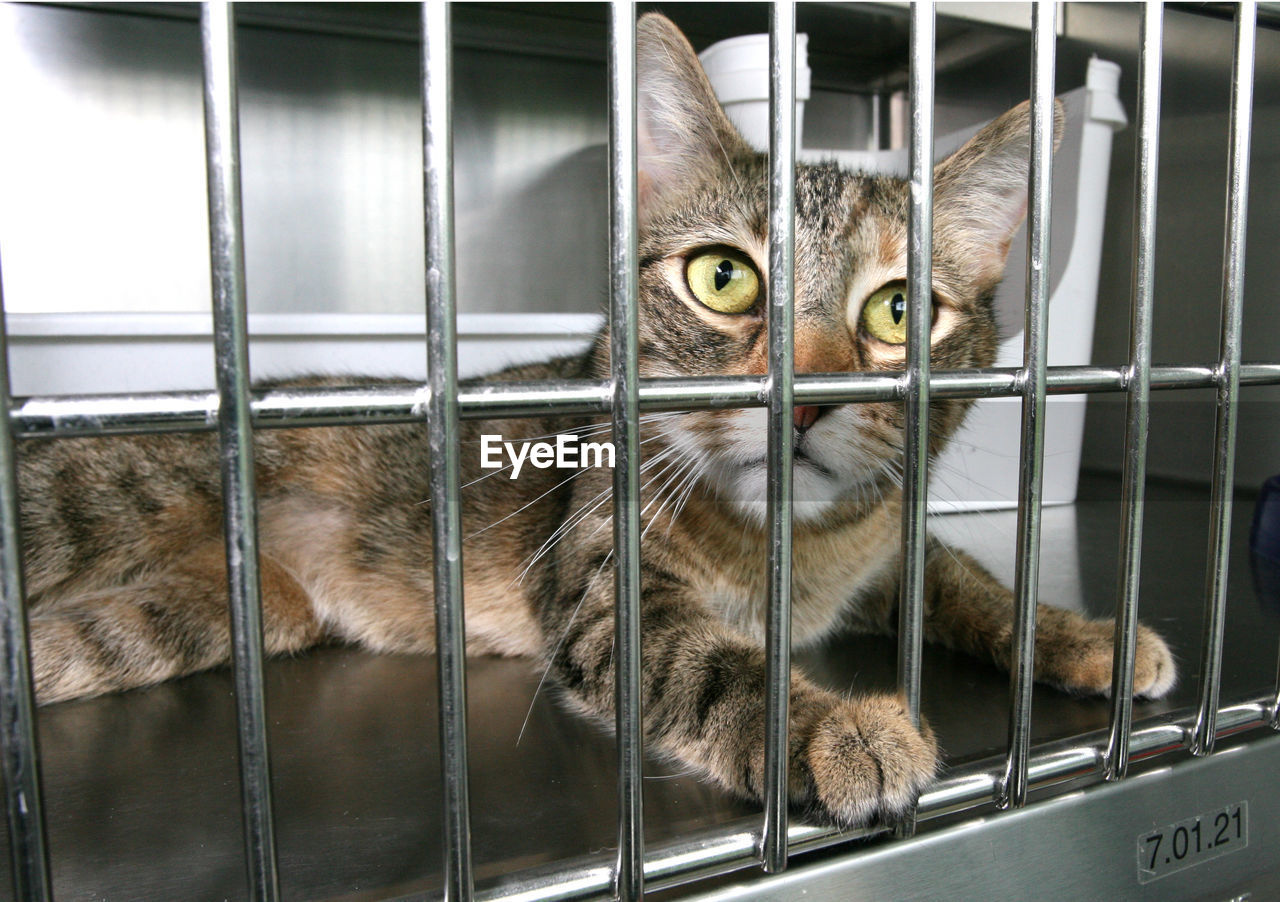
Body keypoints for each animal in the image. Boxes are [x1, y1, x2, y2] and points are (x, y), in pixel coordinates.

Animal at [17, 15, 1172, 829]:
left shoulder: (890, 545)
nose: (806, 395)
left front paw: (1083, 635)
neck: (801, 552)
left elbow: (970, 582)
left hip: (182, 620)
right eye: (722, 277)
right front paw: (832, 724)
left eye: (899, 312)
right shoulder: (605, 591)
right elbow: (713, 663)